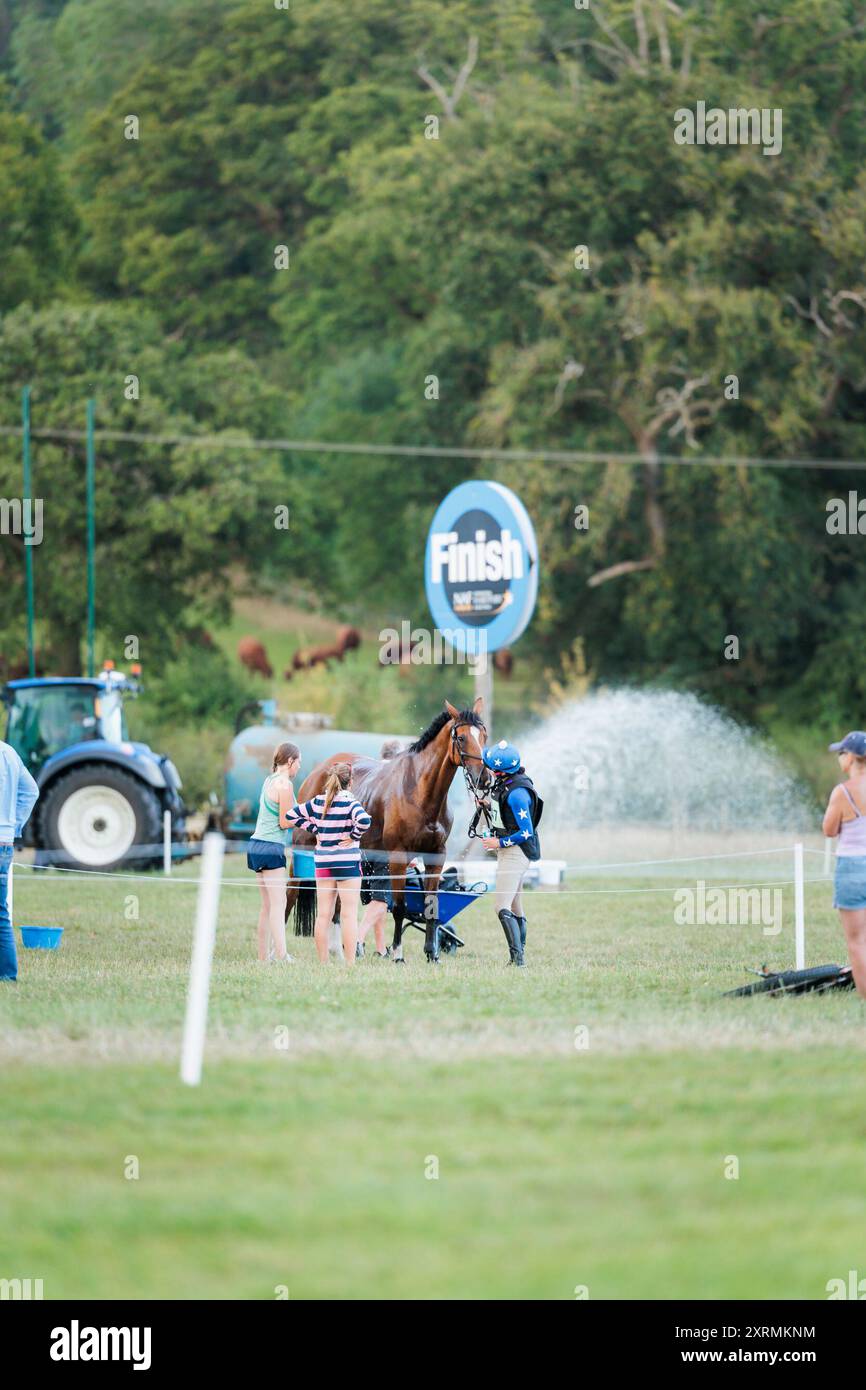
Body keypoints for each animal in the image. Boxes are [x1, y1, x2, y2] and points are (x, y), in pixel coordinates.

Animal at [286, 699, 489, 962]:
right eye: (461, 738)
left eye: (483, 735)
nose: (484, 778)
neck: (420, 791)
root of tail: (321, 770)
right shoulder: (398, 856)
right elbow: (400, 907)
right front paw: (397, 954)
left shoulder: (436, 856)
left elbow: (431, 903)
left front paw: (432, 954)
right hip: (302, 850)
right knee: (289, 895)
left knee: (338, 904)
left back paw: (337, 951)